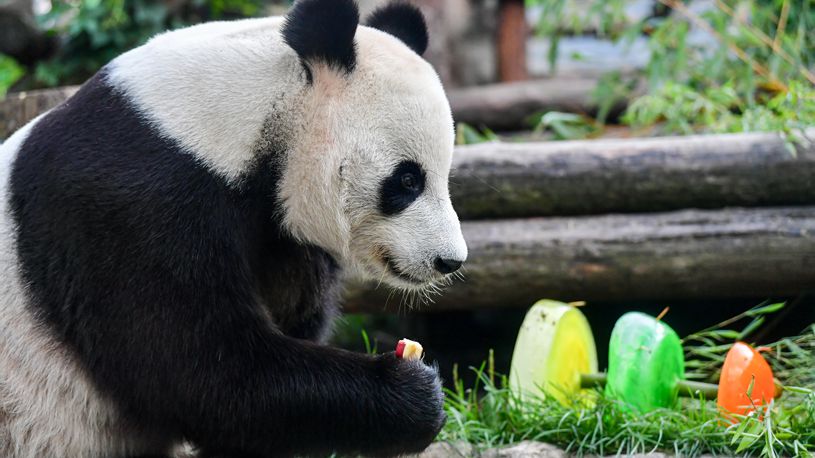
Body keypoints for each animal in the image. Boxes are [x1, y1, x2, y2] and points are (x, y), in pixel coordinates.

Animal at [0, 0, 468, 456]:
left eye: (443, 174)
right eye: (407, 180)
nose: (449, 260)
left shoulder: (281, 239)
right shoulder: (131, 206)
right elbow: (206, 371)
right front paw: (411, 393)